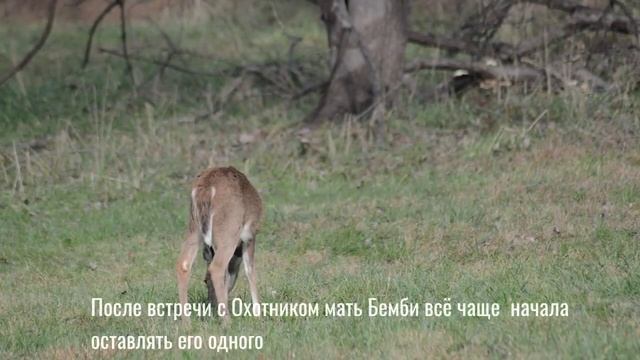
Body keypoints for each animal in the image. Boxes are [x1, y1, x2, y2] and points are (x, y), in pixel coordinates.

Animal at [175, 167, 262, 324]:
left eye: (204, 281)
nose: (210, 304)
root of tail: (207, 188)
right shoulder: (250, 235)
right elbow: (250, 271)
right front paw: (258, 315)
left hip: (194, 226)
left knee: (183, 264)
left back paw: (186, 322)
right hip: (229, 229)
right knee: (217, 267)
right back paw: (227, 321)